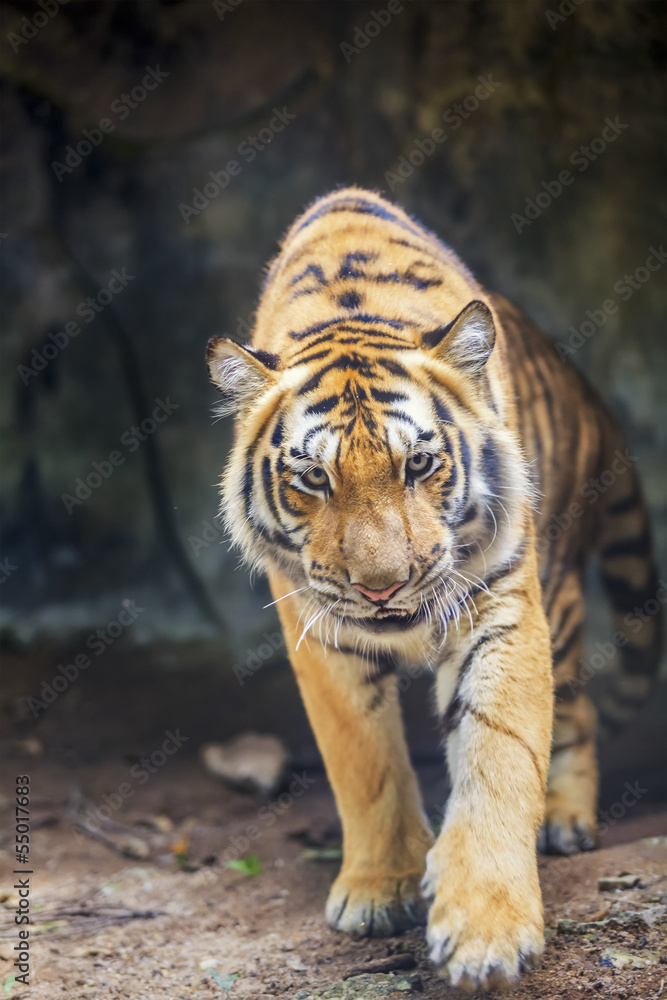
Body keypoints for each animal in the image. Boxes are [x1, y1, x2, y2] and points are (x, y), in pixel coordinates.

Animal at [206, 187, 662, 991]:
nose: (383, 588)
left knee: (575, 713)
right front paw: (378, 888)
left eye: (418, 463)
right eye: (313, 478)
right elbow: (365, 762)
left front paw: (486, 931)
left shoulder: (503, 605)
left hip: (563, 596)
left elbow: (499, 752)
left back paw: (565, 818)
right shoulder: (317, 627)